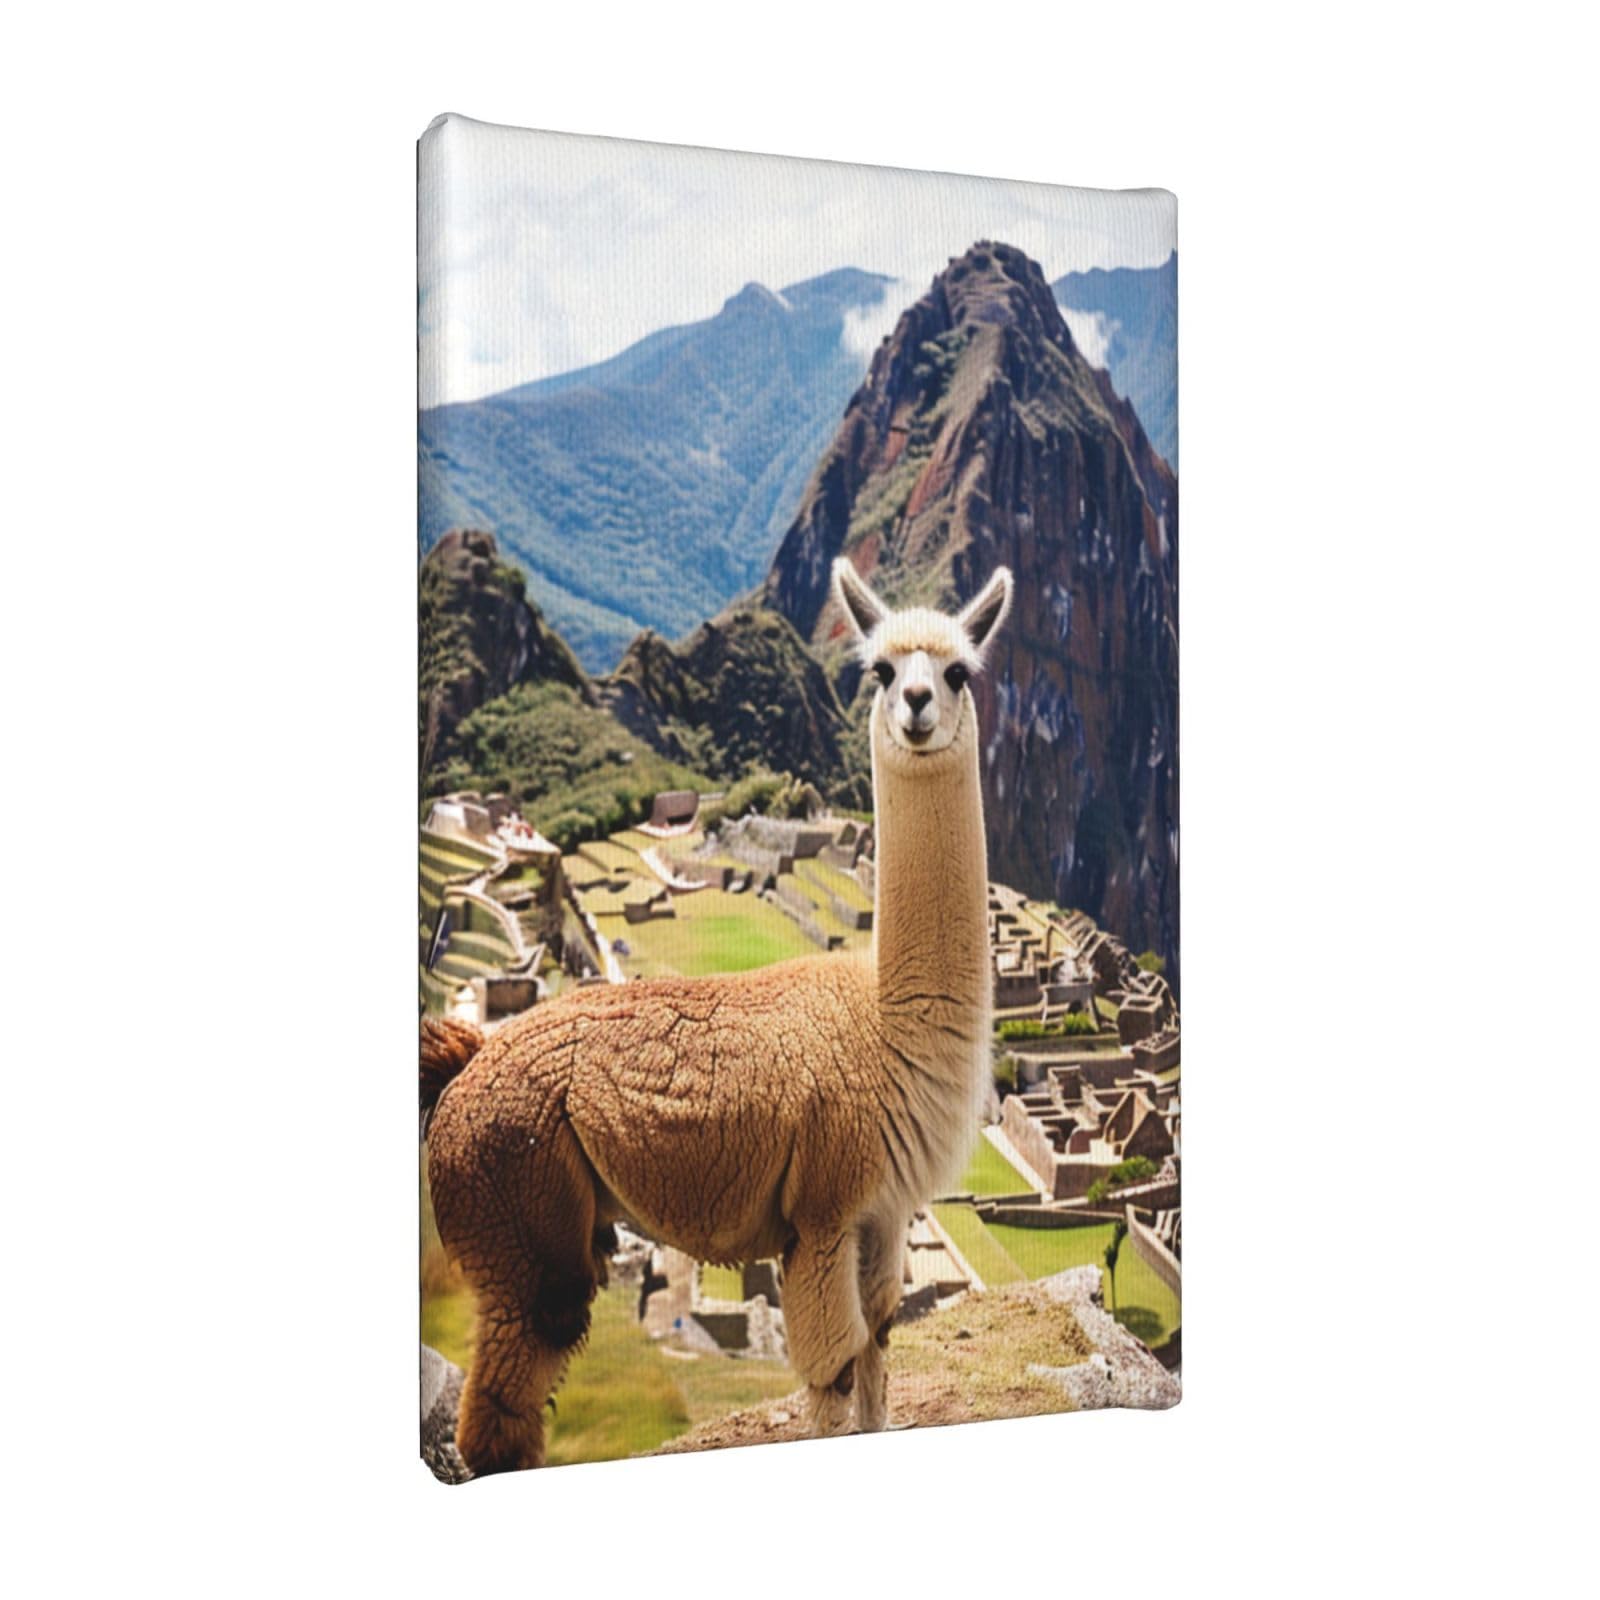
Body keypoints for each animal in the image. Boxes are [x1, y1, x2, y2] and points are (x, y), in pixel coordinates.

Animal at [422, 559, 1013, 1474]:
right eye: (881, 671)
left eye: (958, 673)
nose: (916, 705)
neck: (888, 1029)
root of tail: (471, 1057)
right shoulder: (822, 1211)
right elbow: (833, 1378)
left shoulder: (883, 1213)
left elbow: (879, 1358)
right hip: (512, 1199)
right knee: (503, 1402)